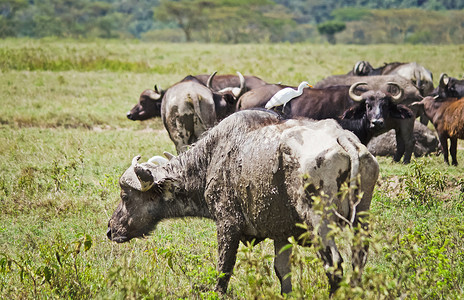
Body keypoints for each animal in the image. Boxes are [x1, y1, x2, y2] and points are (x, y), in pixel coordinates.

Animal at [109, 108, 380, 296]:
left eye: (125, 195)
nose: (111, 229)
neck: (211, 159)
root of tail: (343, 139)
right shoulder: (281, 233)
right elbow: (282, 271)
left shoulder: (228, 224)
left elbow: (224, 266)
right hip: (361, 220)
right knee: (358, 261)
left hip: (319, 221)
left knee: (334, 264)